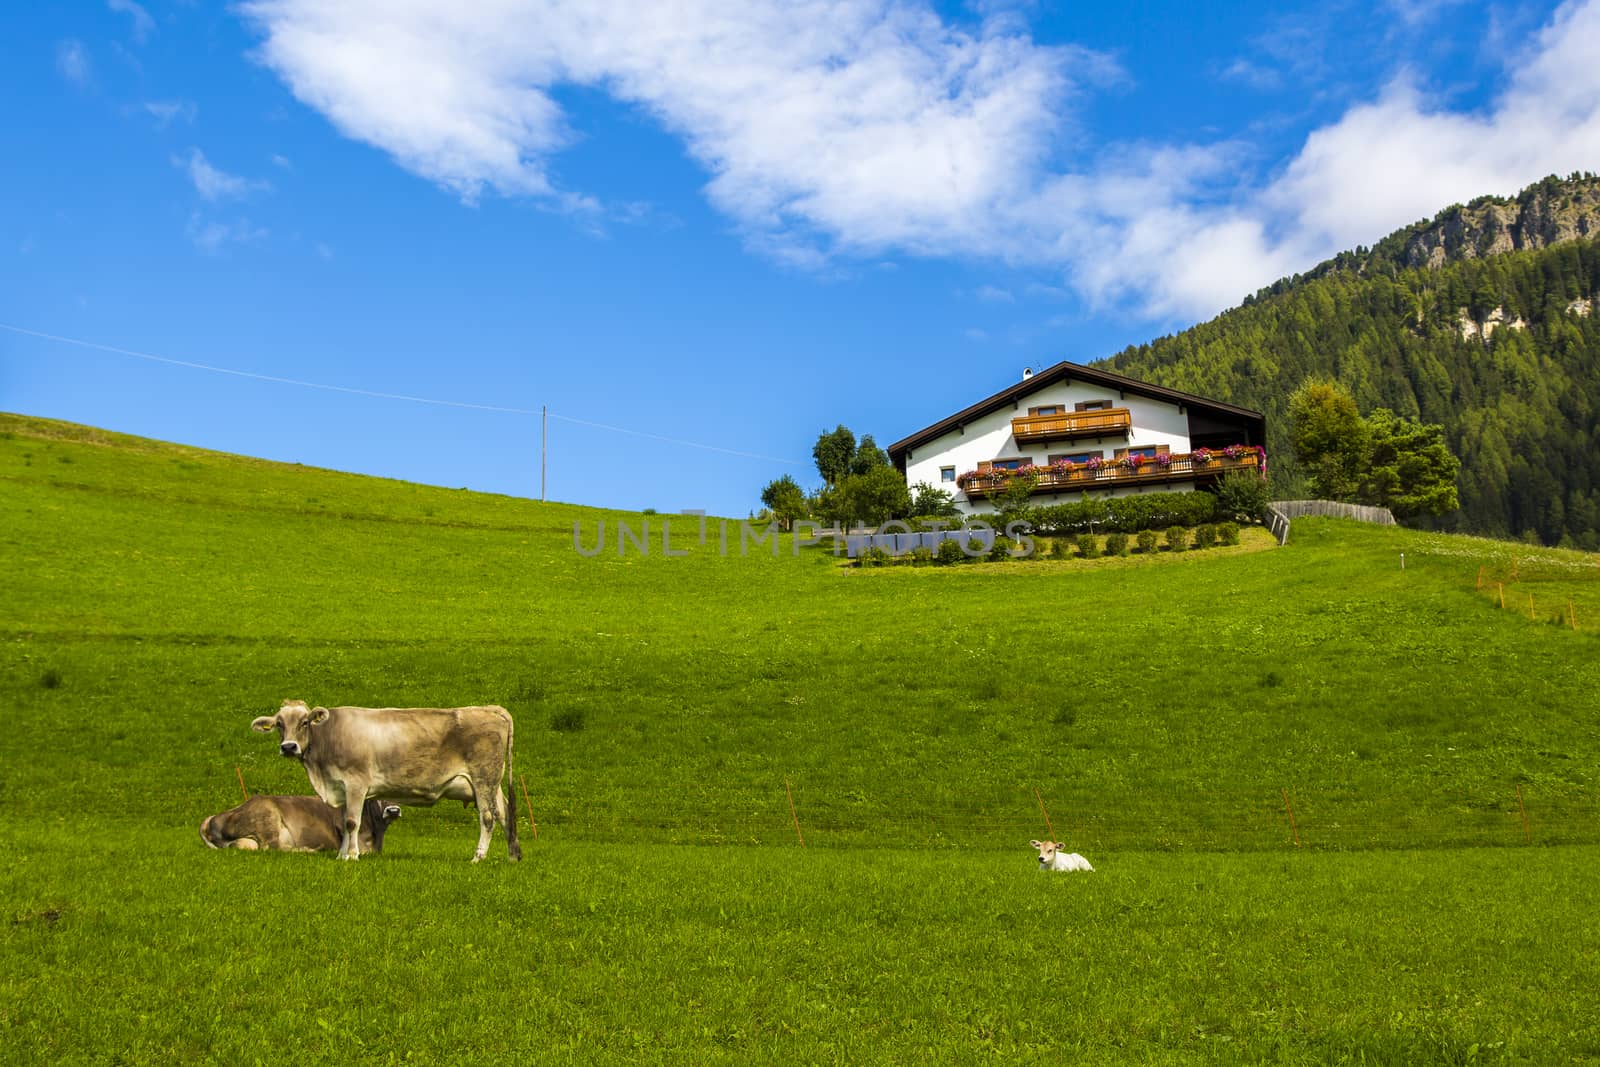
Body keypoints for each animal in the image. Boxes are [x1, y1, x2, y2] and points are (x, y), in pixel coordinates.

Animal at [249, 700, 521, 870]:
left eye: (305, 722)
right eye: (279, 724)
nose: (289, 747)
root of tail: (490, 709)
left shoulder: (356, 782)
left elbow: (352, 822)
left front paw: (352, 856)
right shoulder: (341, 786)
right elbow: (344, 822)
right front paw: (341, 855)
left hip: (483, 778)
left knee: (488, 817)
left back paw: (478, 857)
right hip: (491, 784)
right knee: (505, 813)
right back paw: (512, 855)